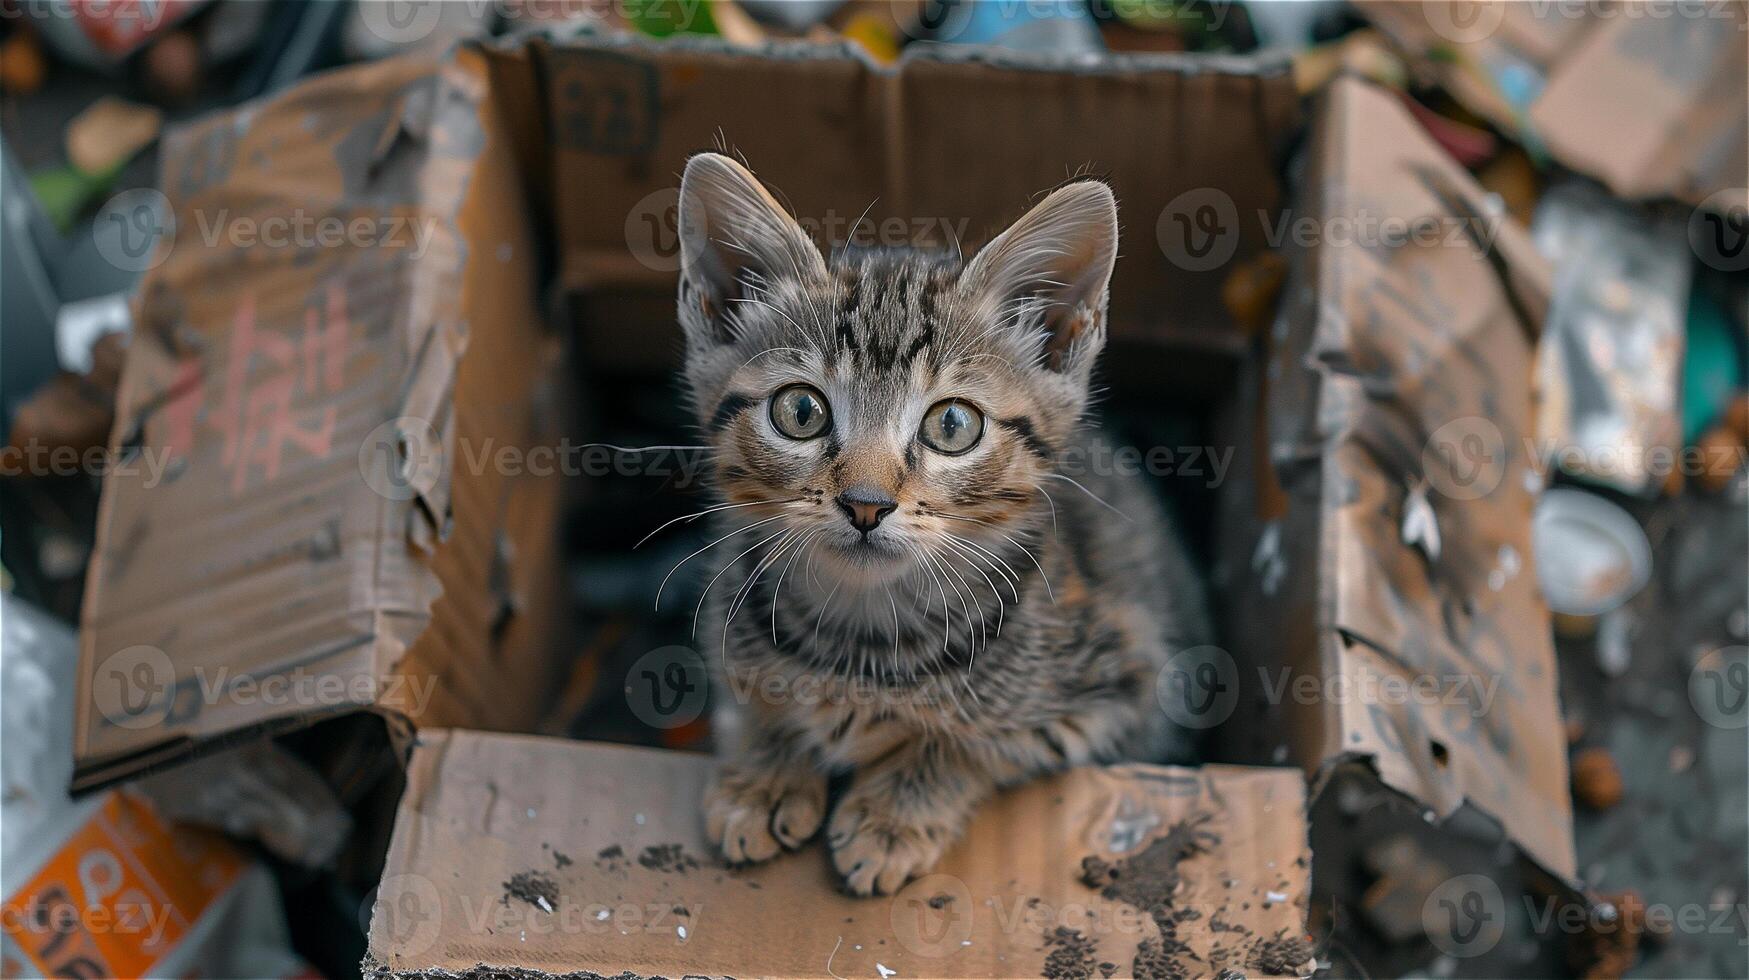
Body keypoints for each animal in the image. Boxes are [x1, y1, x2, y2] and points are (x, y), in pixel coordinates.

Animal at [668, 151, 1203, 896]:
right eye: (799, 412)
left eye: (952, 424)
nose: (865, 503)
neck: (860, 635)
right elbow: (746, 695)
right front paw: (765, 768)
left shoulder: (1128, 690)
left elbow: (976, 744)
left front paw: (895, 811)